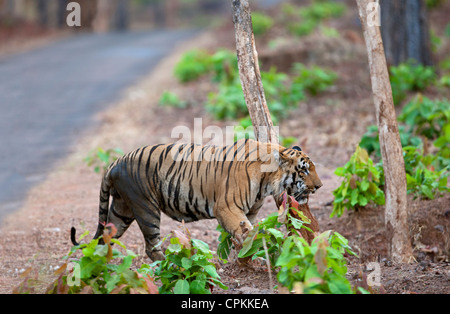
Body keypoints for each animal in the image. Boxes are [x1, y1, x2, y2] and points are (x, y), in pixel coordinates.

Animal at [70, 139, 322, 262]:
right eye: (304, 170)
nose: (319, 187)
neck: (268, 181)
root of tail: (115, 162)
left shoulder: (249, 212)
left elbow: (244, 236)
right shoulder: (227, 208)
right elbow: (250, 236)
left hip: (122, 210)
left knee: (103, 239)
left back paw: (99, 271)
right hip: (145, 207)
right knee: (151, 247)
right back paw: (169, 266)